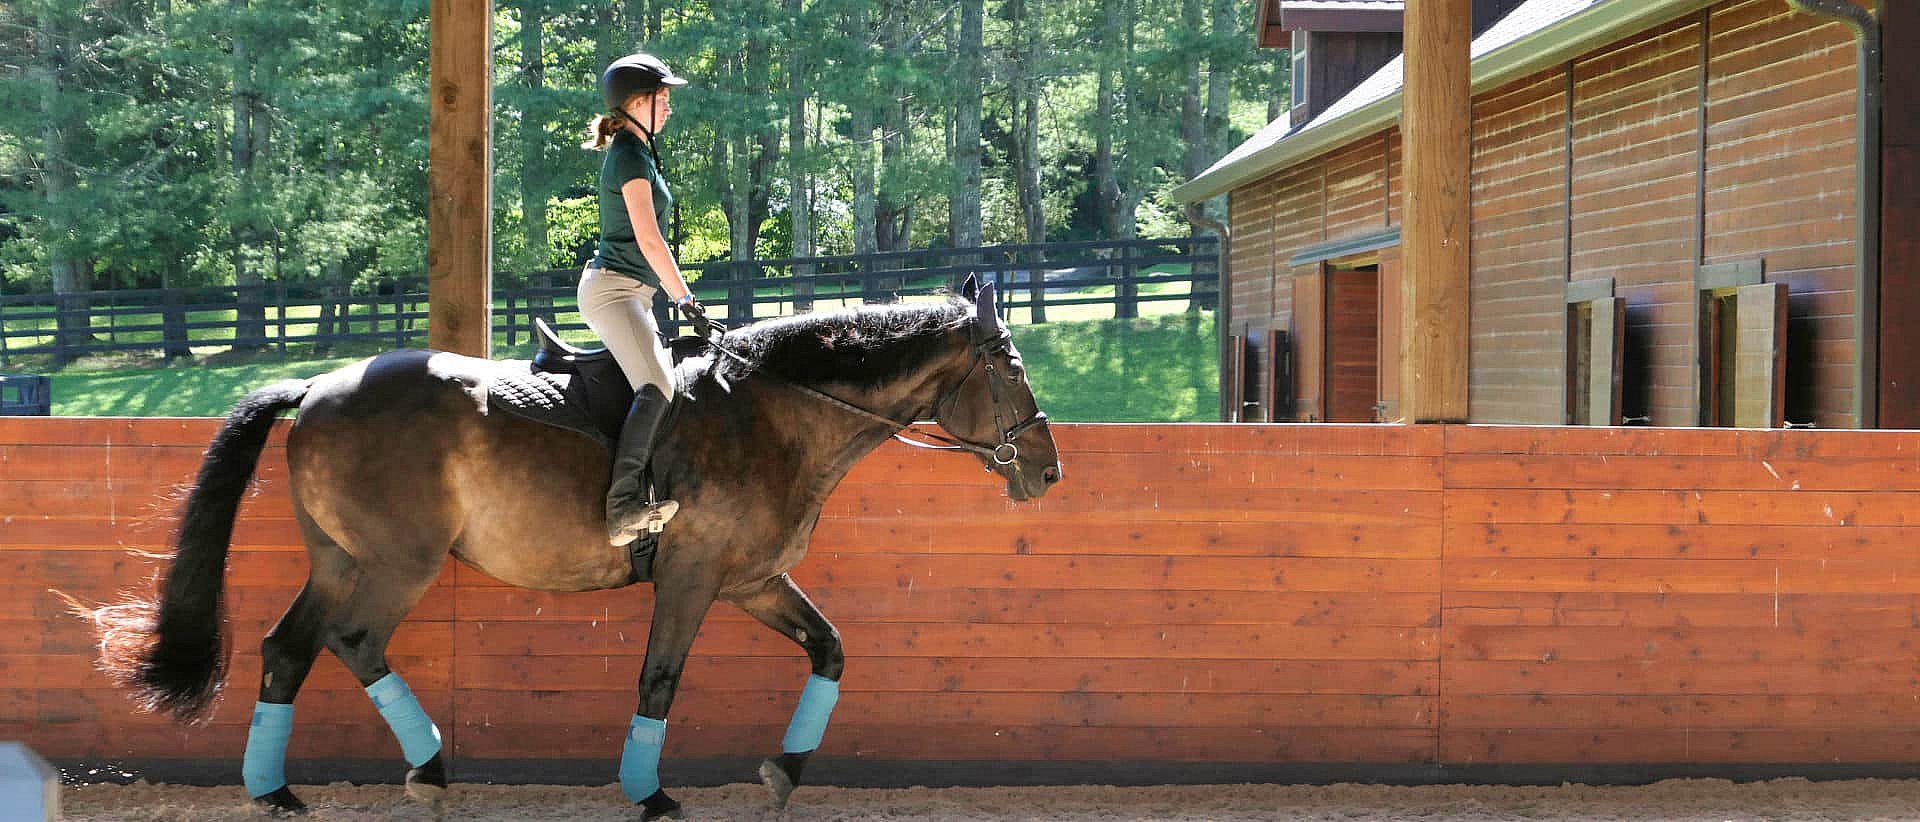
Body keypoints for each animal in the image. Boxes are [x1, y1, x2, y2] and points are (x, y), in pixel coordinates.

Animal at [81, 276, 1062, 818]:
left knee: (288, 648)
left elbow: (830, 650)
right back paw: (426, 767)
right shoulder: (692, 579)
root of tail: (321, 386)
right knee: (353, 641)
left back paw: (277, 791)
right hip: (398, 564)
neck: (775, 411)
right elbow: (659, 681)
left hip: (341, 559)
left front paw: (784, 772)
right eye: (1012, 367)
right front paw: (650, 793)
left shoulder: (753, 581)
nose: (1049, 469)